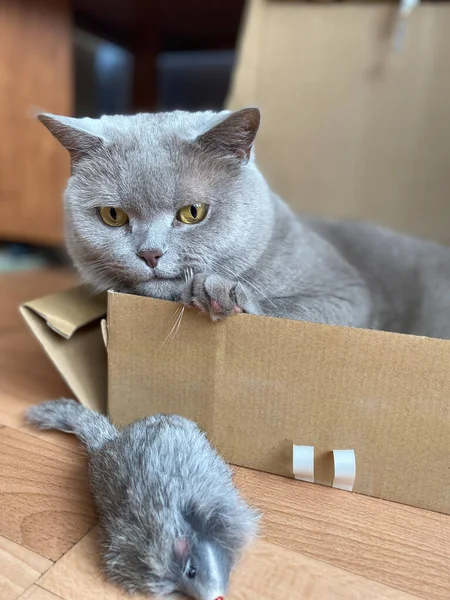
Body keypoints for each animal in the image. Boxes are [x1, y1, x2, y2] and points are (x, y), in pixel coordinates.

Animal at [37, 109, 450, 338]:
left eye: (193, 212)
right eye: (113, 216)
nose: (150, 253)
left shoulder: (347, 292)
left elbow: (290, 311)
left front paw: (221, 294)